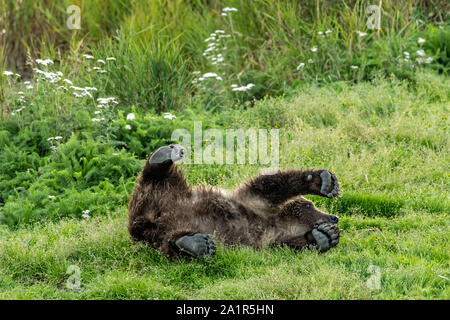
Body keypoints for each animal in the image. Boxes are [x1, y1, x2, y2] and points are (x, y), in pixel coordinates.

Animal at [128, 144, 340, 258]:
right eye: (310, 205)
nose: (334, 217)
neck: (277, 222)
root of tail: (146, 221)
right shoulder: (255, 201)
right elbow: (271, 184)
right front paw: (325, 182)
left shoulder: (268, 238)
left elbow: (289, 244)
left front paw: (326, 236)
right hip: (165, 193)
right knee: (155, 177)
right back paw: (163, 155)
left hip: (158, 230)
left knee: (169, 242)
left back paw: (195, 244)